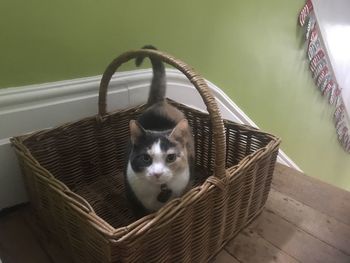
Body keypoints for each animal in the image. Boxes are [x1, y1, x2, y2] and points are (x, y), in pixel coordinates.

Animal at [124, 46, 196, 219]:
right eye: (146, 158)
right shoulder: (134, 200)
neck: (160, 189)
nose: (157, 173)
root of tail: (159, 102)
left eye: (170, 157)